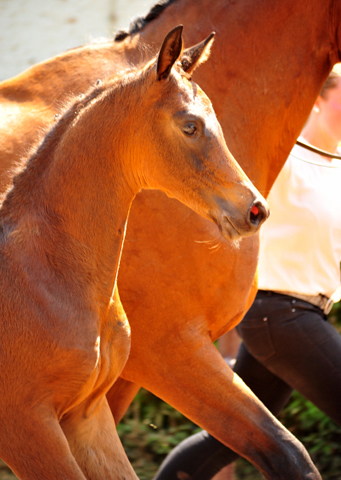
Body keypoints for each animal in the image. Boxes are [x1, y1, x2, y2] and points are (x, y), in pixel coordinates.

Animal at [0, 0, 336, 476]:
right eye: (190, 126)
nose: (255, 210)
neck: (44, 267)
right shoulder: (35, 422)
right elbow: (286, 450)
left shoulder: (90, 410)